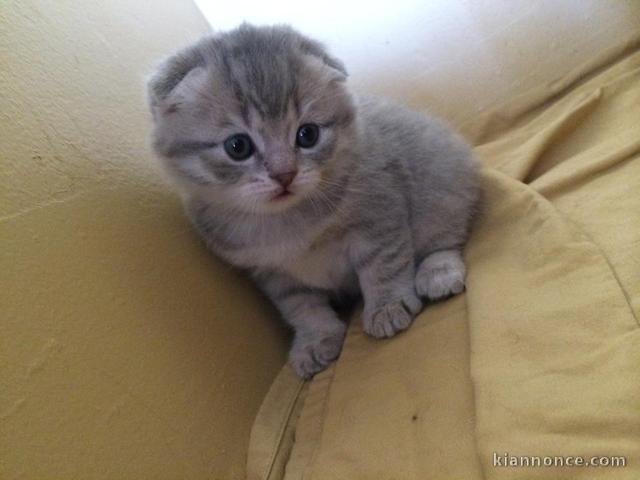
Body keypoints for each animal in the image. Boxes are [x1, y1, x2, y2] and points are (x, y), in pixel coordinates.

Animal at [148, 24, 480, 378]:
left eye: (307, 134)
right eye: (237, 146)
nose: (285, 174)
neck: (288, 223)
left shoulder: (378, 217)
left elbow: (383, 267)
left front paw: (388, 304)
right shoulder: (274, 275)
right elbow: (302, 308)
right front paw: (316, 340)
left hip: (439, 189)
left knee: (444, 239)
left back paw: (437, 272)